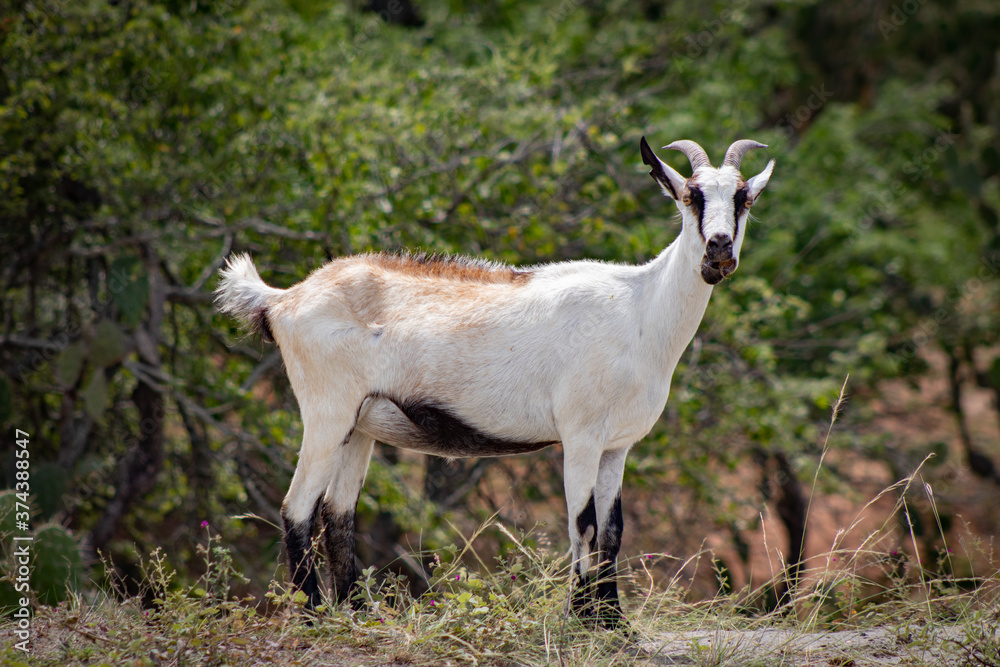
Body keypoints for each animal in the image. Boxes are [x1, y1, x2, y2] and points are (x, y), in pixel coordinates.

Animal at [217, 138, 772, 628]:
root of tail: (282, 299)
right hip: (326, 414)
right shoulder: (581, 436)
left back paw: (359, 613)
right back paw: (315, 616)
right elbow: (584, 524)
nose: (719, 251)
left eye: (744, 198)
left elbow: (613, 531)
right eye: (691, 196)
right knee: (297, 509)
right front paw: (581, 621)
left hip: (360, 427)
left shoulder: (618, 445)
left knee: (338, 514)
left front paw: (615, 624)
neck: (640, 308)